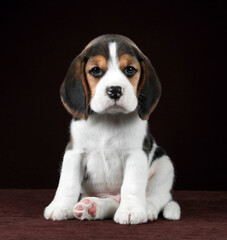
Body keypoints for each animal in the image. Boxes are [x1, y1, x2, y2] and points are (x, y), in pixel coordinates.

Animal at [43, 34, 180, 224]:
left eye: (130, 69)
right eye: (95, 70)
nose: (114, 90)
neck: (108, 118)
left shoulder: (136, 155)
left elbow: (131, 185)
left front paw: (131, 211)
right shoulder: (74, 153)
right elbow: (67, 183)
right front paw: (60, 207)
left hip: (165, 166)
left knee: (156, 197)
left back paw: (146, 209)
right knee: (112, 203)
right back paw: (91, 207)